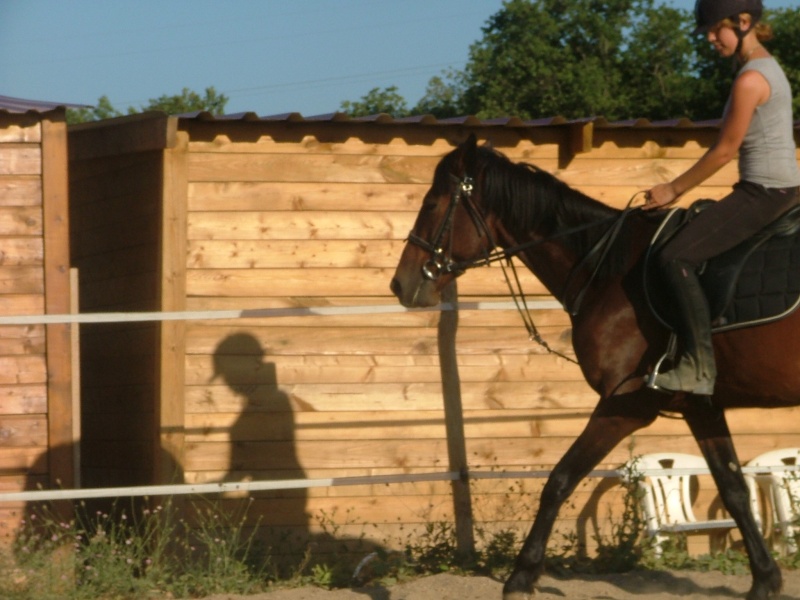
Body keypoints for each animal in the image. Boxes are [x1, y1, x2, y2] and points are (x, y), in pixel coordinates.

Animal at [390, 136, 800, 600]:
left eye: (433, 203)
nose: (400, 284)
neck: (609, 271)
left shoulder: (627, 405)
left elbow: (560, 479)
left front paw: (521, 577)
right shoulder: (701, 405)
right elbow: (734, 489)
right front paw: (765, 580)